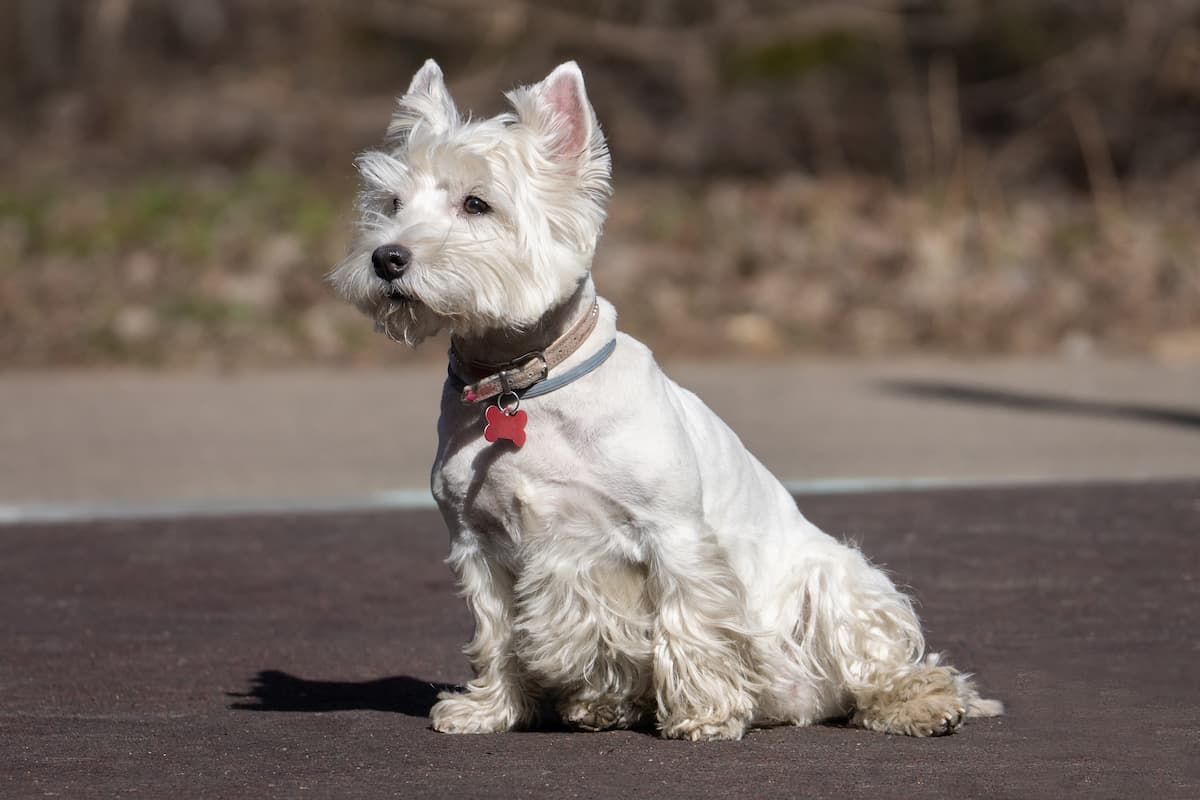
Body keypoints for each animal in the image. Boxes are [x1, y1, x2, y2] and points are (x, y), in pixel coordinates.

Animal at [331, 59, 1003, 743]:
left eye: (476, 203)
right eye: (391, 203)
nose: (387, 259)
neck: (522, 382)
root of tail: (797, 706)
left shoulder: (673, 535)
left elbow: (692, 625)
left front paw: (706, 715)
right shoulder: (479, 546)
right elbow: (495, 635)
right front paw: (487, 710)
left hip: (837, 586)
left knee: (884, 660)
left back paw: (921, 704)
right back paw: (601, 707)